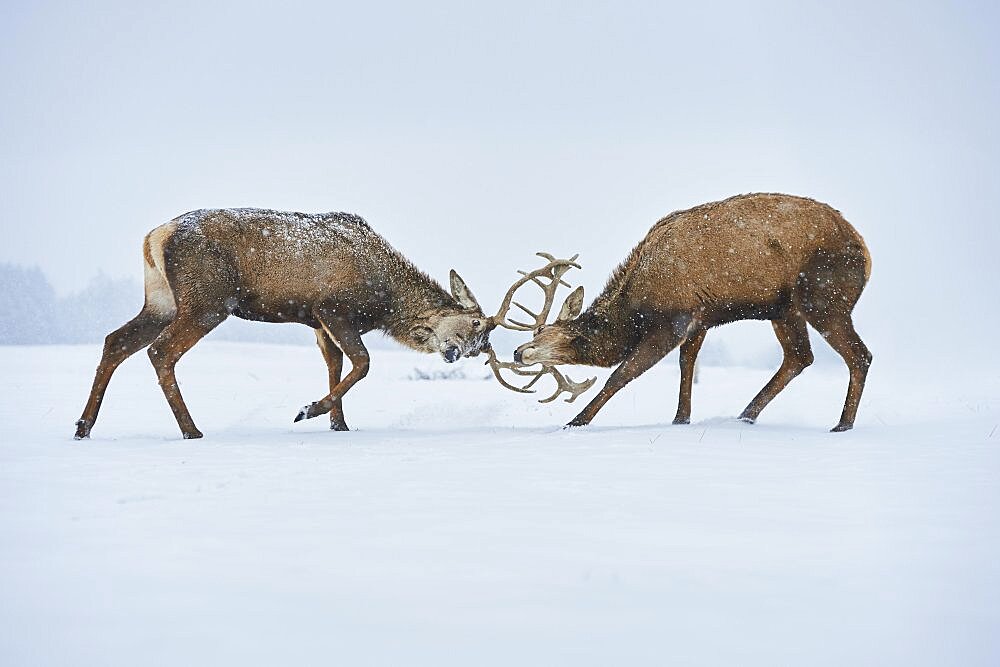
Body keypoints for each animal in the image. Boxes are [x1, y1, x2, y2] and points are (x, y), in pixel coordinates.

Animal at [72, 206, 494, 440]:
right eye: (475, 324)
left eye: (480, 347)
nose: (456, 354)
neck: (384, 302)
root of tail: (155, 237)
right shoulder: (333, 307)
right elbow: (362, 363)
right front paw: (309, 410)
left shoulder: (318, 323)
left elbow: (336, 365)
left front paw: (338, 424)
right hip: (207, 300)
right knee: (160, 351)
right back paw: (191, 430)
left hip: (161, 300)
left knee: (116, 341)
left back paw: (83, 426)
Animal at [496, 193, 872, 434]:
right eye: (536, 330)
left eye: (565, 336)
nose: (518, 351)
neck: (636, 309)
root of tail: (866, 254)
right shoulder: (699, 320)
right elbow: (686, 365)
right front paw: (681, 419)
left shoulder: (673, 320)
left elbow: (622, 373)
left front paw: (576, 421)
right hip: (784, 308)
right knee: (799, 356)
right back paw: (745, 416)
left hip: (823, 298)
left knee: (859, 354)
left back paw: (842, 425)